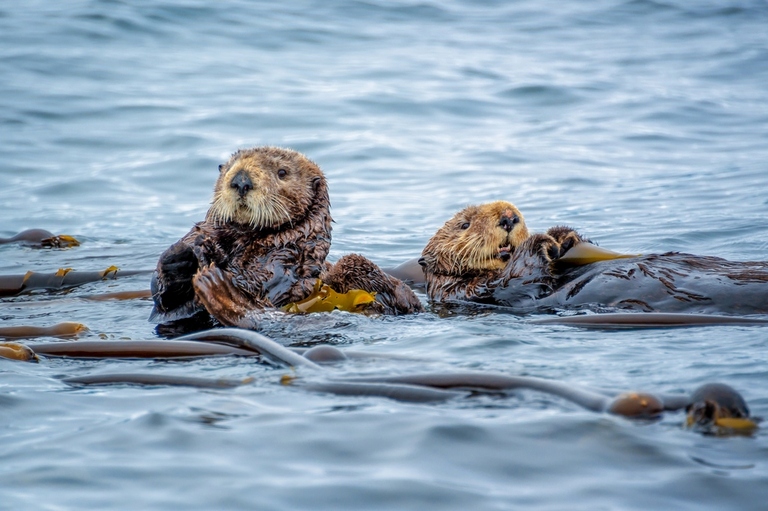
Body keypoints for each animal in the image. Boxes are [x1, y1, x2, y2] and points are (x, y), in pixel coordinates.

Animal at [151, 146, 420, 330]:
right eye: (228, 168)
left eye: (282, 172)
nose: (241, 180)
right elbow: (166, 302)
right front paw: (181, 255)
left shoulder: (285, 259)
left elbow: (257, 283)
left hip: (358, 268)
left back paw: (216, 286)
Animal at [419, 201, 768, 315]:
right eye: (465, 225)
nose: (508, 216)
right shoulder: (479, 293)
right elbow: (520, 281)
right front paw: (542, 239)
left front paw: (564, 236)